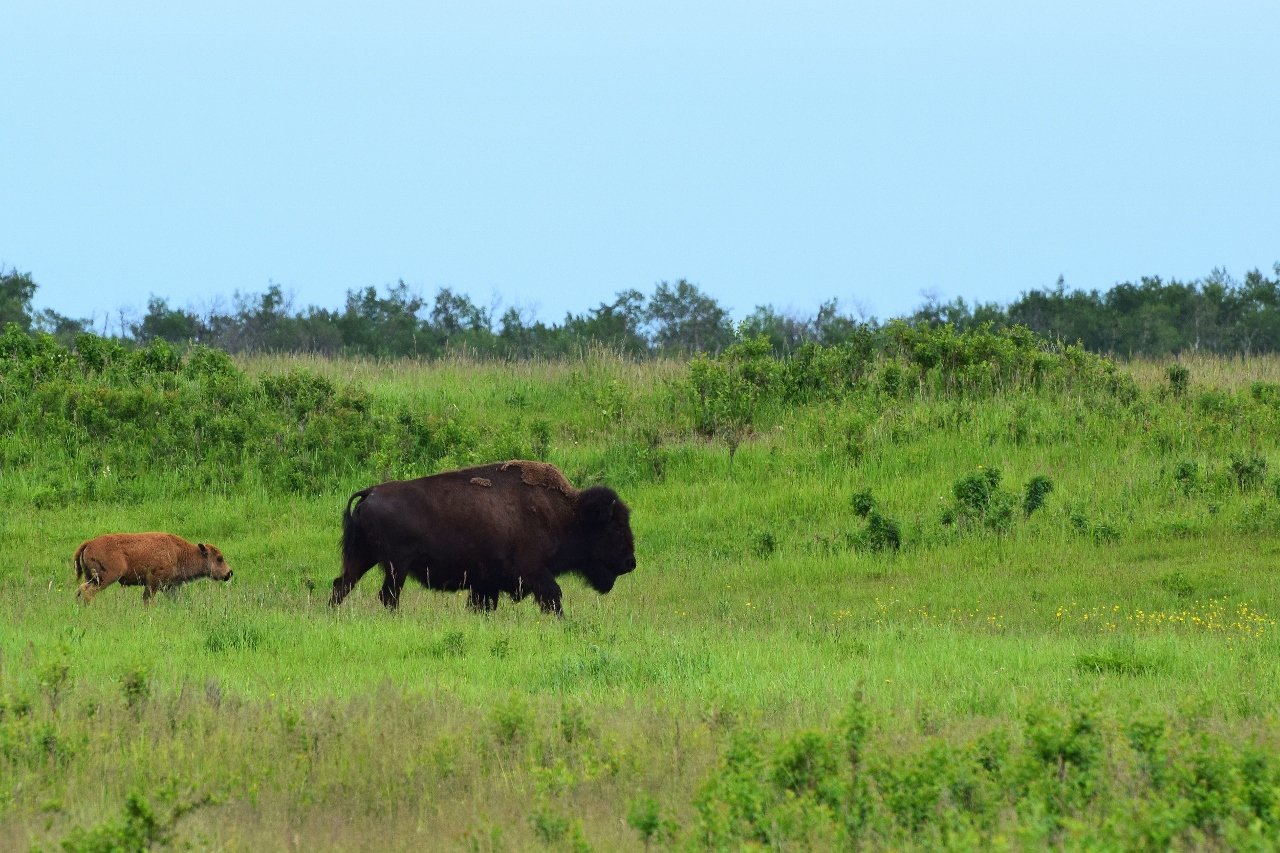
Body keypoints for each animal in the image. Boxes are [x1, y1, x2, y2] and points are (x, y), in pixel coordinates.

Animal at [74, 533, 233, 603]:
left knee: (81, 589)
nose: (229, 573)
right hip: (106, 578)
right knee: (88, 592)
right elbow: (147, 599)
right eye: (219, 558)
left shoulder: (169, 587)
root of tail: (89, 543)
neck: (178, 553)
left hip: (92, 578)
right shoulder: (153, 583)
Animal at [330, 460, 636, 614]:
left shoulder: (485, 584)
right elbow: (553, 597)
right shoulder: (535, 571)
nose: (630, 562)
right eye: (615, 527)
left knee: (341, 585)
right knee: (387, 595)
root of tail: (371, 492)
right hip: (396, 566)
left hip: (364, 558)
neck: (567, 514)